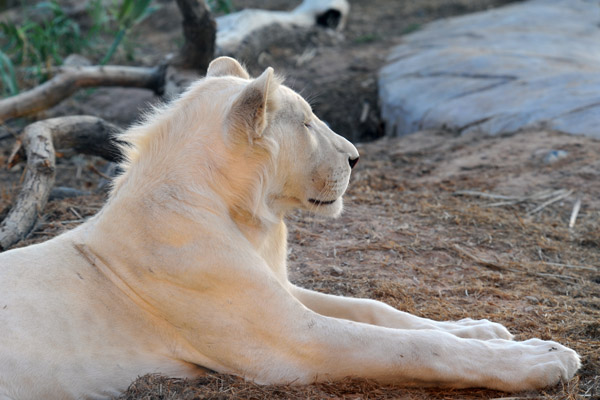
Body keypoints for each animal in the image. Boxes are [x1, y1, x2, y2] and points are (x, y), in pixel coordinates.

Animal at [0, 57, 580, 400]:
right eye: (305, 123)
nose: (356, 156)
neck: (250, 219)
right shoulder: (291, 345)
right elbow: (413, 348)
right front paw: (543, 358)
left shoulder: (281, 290)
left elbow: (380, 310)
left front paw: (481, 327)